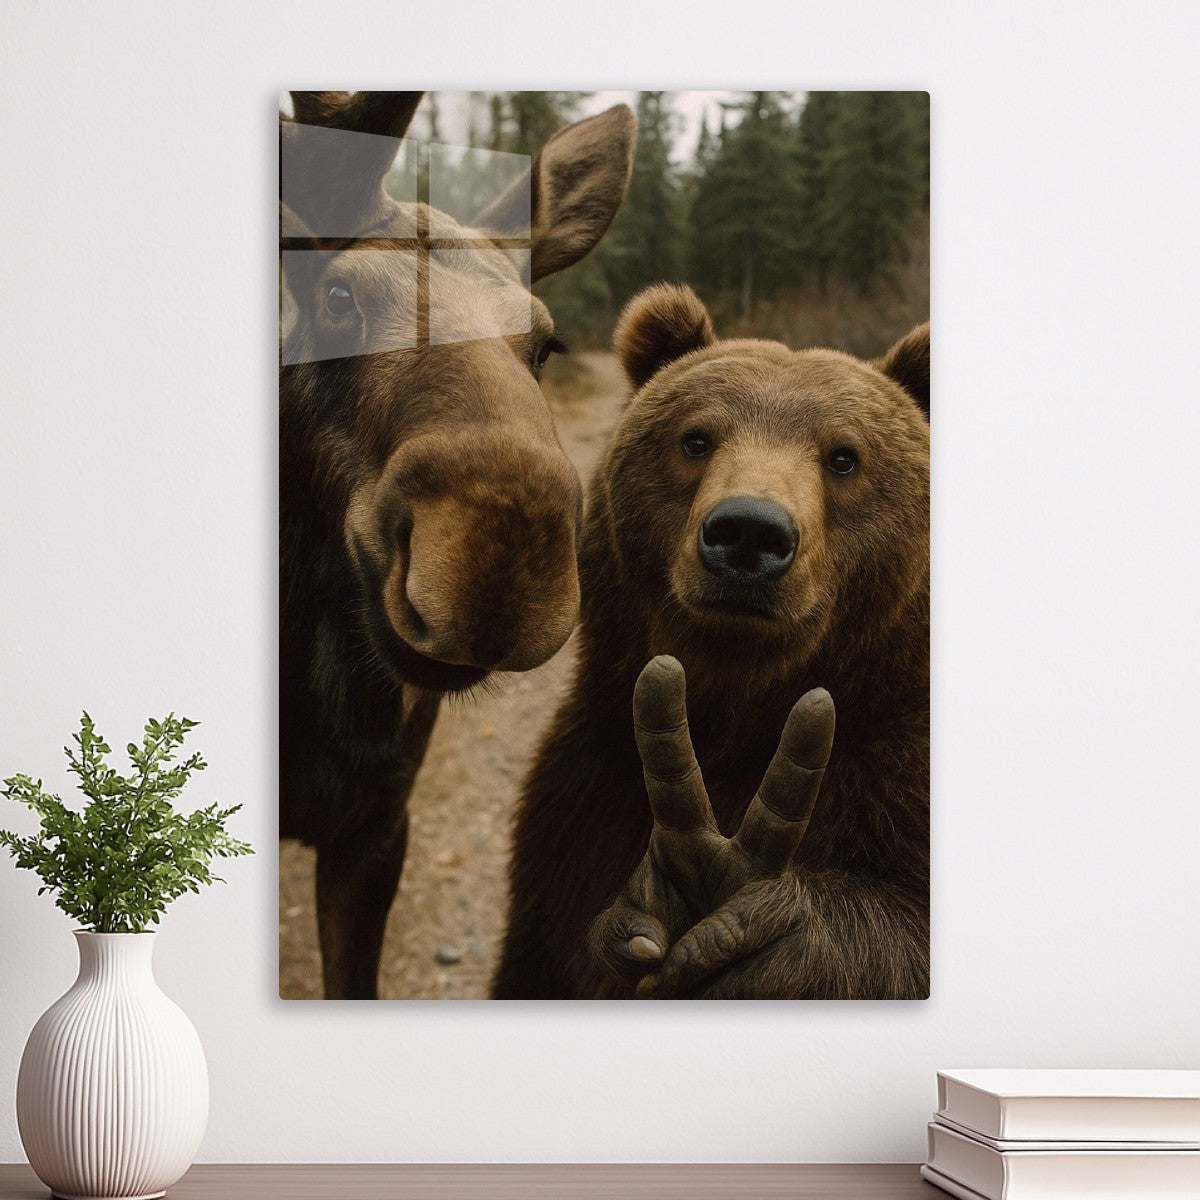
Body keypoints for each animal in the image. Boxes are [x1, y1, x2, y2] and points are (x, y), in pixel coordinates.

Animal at [492, 284, 929, 1000]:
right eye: (696, 439)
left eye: (844, 457)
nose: (749, 531)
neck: (737, 714)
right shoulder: (585, 801)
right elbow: (547, 952)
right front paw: (662, 896)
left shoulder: (894, 780)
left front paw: (754, 929)